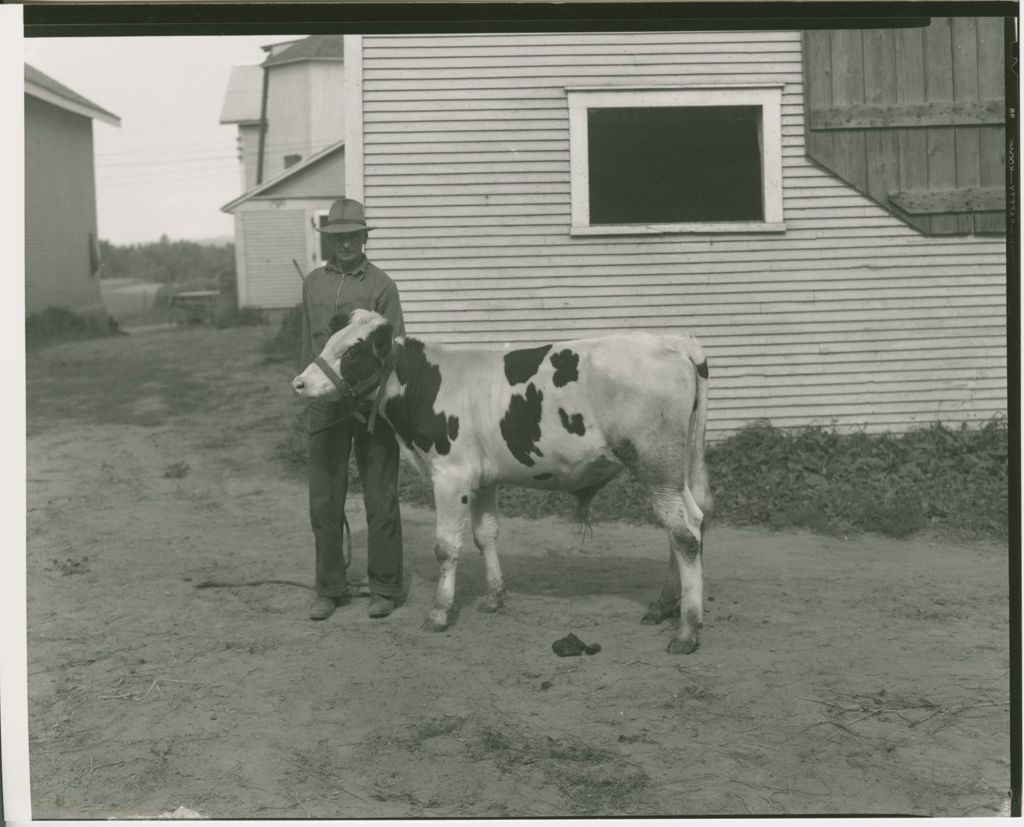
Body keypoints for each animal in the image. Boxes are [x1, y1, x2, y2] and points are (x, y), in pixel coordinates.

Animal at [290, 309, 712, 650]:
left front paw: (438, 614)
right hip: (679, 469)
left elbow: (446, 547)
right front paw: (494, 597)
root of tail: (675, 340)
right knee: (691, 523)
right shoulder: (483, 479)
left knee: (684, 533)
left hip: (656, 466)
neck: (427, 384)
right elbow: (485, 535)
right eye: (329, 342)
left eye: (353, 353)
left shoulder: (451, 475)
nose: (299, 383)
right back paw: (663, 607)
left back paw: (687, 631)